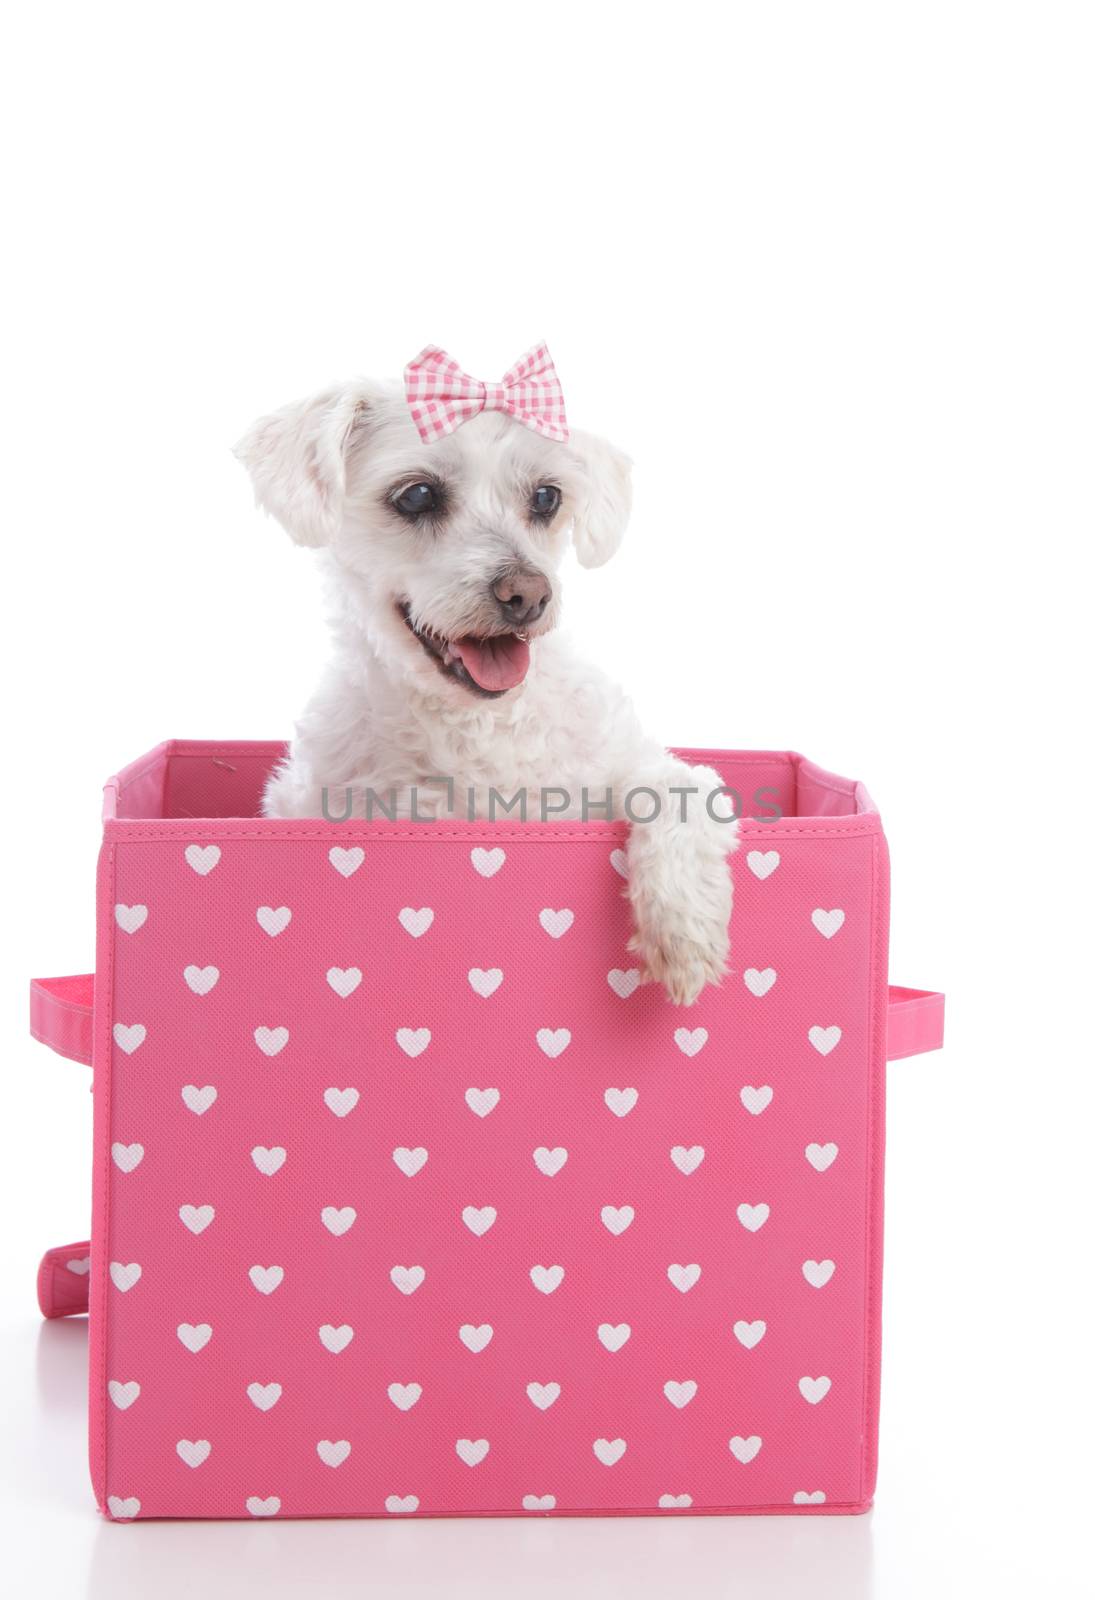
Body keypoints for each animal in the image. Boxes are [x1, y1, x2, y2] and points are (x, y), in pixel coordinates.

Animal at [236, 353, 736, 998]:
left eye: (547, 498)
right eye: (418, 495)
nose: (528, 594)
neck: (479, 723)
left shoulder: (634, 764)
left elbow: (680, 790)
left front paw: (684, 929)